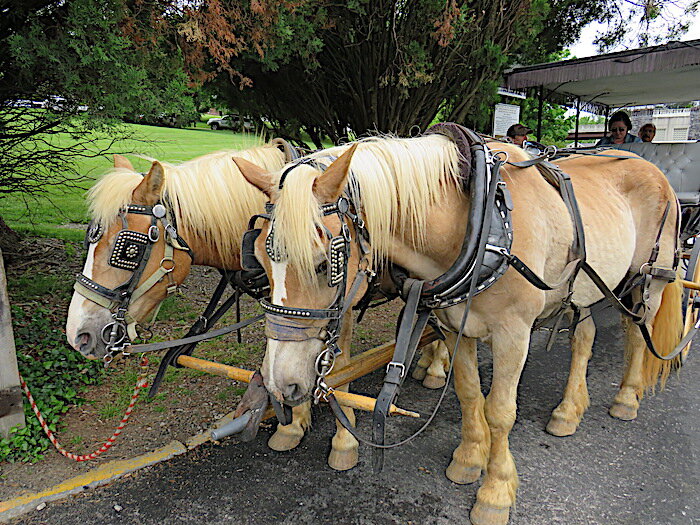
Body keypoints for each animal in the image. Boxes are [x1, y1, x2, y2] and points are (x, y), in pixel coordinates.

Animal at [235, 134, 684, 524]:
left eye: (323, 263)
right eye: (257, 256)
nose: (278, 383)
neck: (481, 223)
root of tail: (654, 169)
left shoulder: (513, 334)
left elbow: (500, 411)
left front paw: (495, 492)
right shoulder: (454, 325)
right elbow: (469, 394)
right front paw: (469, 458)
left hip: (649, 281)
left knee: (637, 334)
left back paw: (626, 397)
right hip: (587, 287)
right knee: (584, 339)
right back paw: (568, 411)